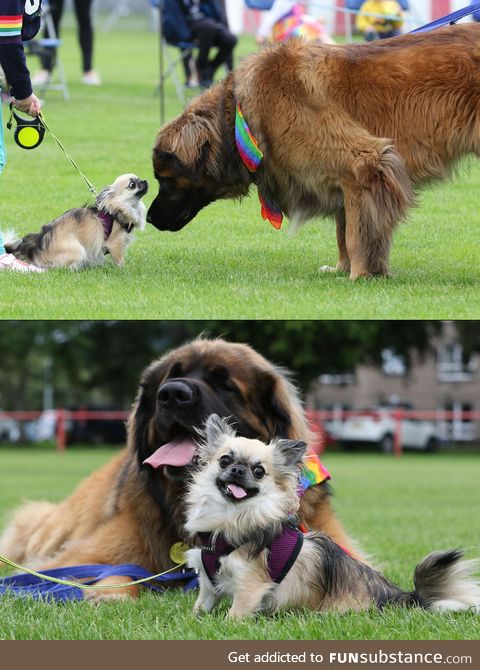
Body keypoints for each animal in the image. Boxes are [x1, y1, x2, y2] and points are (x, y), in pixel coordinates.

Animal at [0, 342, 356, 604]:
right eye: (169, 377)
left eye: (224, 384)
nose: (172, 394)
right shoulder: (77, 557)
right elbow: (106, 570)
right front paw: (112, 591)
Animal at [4, 175, 147, 272]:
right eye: (132, 184)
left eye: (139, 178)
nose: (145, 181)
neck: (119, 208)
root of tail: (38, 243)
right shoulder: (115, 245)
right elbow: (119, 261)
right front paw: (124, 270)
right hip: (78, 251)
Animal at [146, 25, 480, 280]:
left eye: (166, 179)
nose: (148, 218)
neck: (242, 116)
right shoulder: (348, 181)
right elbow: (344, 229)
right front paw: (343, 269)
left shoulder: (364, 164)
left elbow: (356, 234)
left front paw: (361, 275)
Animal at [186, 418, 480, 624]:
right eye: (225, 460)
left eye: (258, 471)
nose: (237, 470)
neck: (229, 517)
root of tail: (402, 597)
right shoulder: (209, 585)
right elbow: (200, 607)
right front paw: (195, 620)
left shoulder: (250, 585)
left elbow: (235, 615)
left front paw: (225, 625)